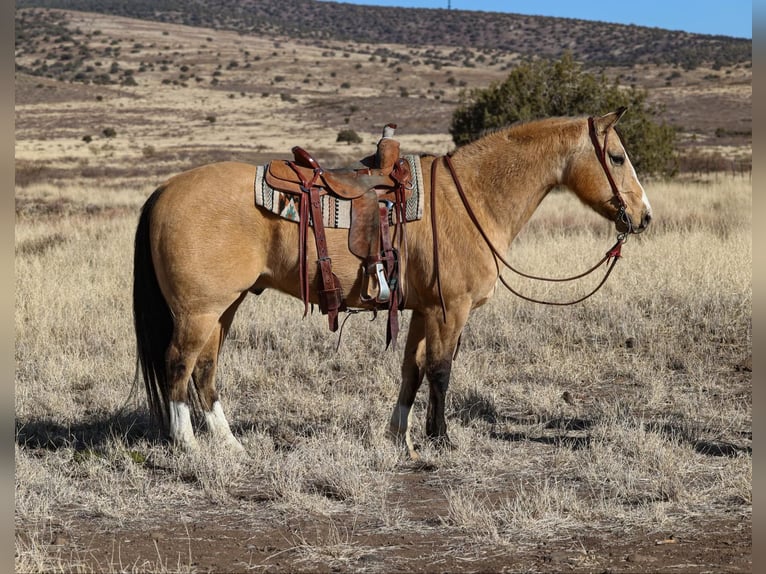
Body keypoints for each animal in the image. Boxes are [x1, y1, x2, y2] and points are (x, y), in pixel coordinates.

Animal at [133, 108, 652, 458]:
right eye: (617, 156)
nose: (644, 216)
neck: (469, 198)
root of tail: (163, 190)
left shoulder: (421, 310)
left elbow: (412, 370)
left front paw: (398, 435)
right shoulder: (449, 309)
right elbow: (441, 370)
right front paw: (441, 439)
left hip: (225, 307)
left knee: (204, 371)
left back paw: (231, 446)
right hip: (199, 312)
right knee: (178, 366)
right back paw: (188, 447)